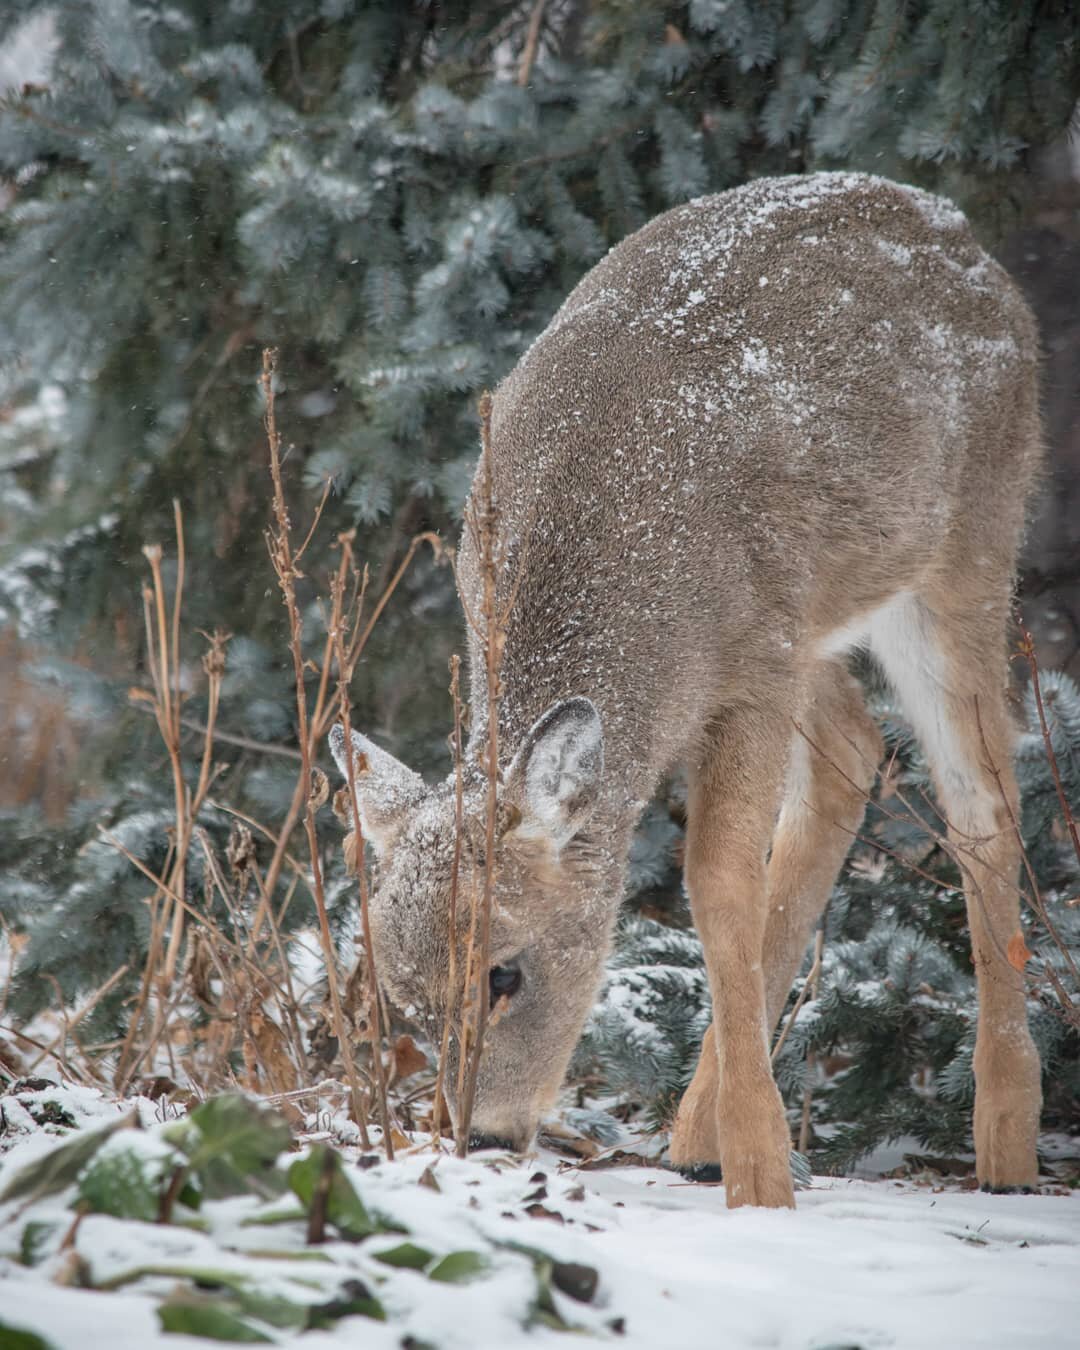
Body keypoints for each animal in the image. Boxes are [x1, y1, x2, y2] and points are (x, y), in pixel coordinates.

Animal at [333, 171, 1042, 1215]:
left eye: (506, 973)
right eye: (407, 1001)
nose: (484, 1135)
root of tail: (965, 237)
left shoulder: (753, 665)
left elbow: (715, 877)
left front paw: (762, 1178)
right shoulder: (761, 651)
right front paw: (741, 1153)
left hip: (965, 549)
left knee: (982, 798)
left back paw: (1005, 1146)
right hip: (817, 618)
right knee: (856, 755)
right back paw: (695, 1137)